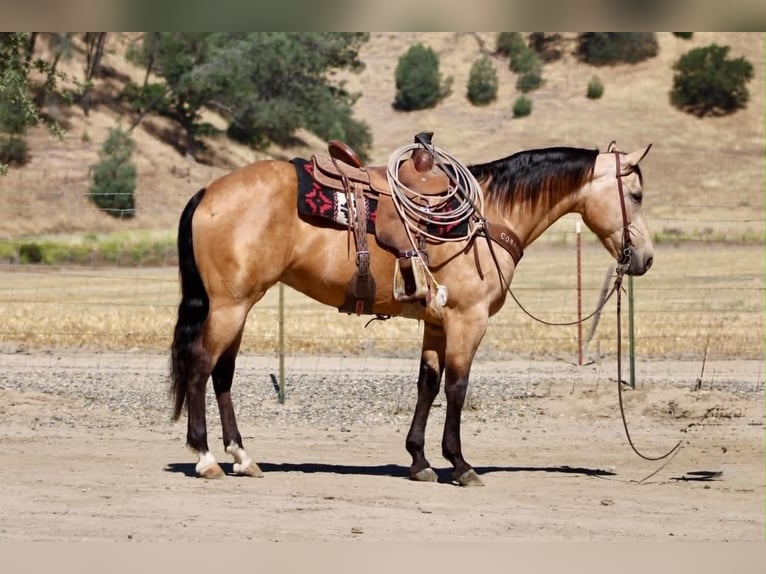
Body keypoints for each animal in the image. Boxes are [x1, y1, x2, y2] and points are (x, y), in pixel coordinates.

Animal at [169, 141, 654, 486]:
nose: (645, 258)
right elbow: (457, 388)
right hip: (230, 306)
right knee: (200, 365)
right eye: (635, 194)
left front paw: (420, 460)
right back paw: (206, 458)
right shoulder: (467, 320)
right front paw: (460, 464)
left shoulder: (437, 324)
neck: (486, 217)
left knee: (222, 374)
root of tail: (209, 191)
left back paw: (242, 457)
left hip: (240, 305)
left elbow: (427, 385)